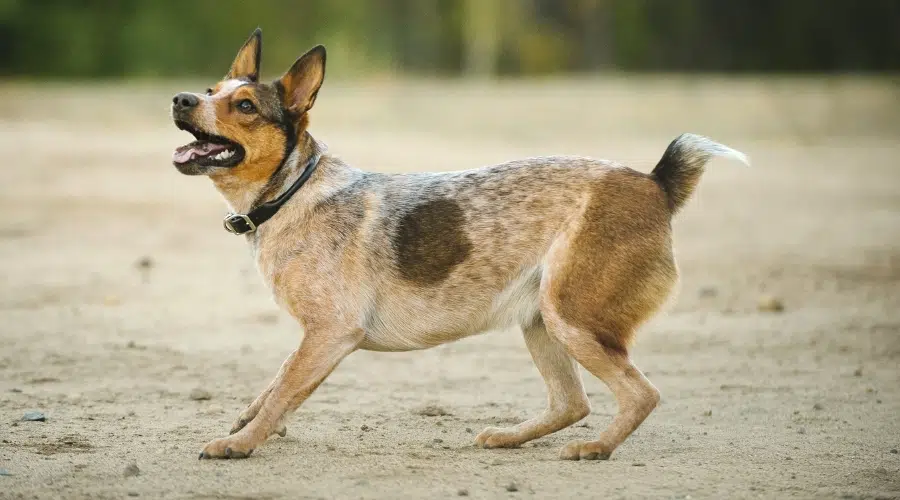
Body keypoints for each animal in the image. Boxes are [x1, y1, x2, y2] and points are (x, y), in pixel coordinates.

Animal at [172, 28, 748, 460]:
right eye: (209, 90)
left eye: (245, 105)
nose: (181, 99)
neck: (293, 191)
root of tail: (655, 182)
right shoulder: (316, 337)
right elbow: (276, 383)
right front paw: (251, 420)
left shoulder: (332, 332)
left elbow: (283, 389)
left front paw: (242, 441)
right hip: (541, 320)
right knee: (572, 403)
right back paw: (510, 437)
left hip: (572, 318)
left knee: (640, 394)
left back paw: (598, 448)